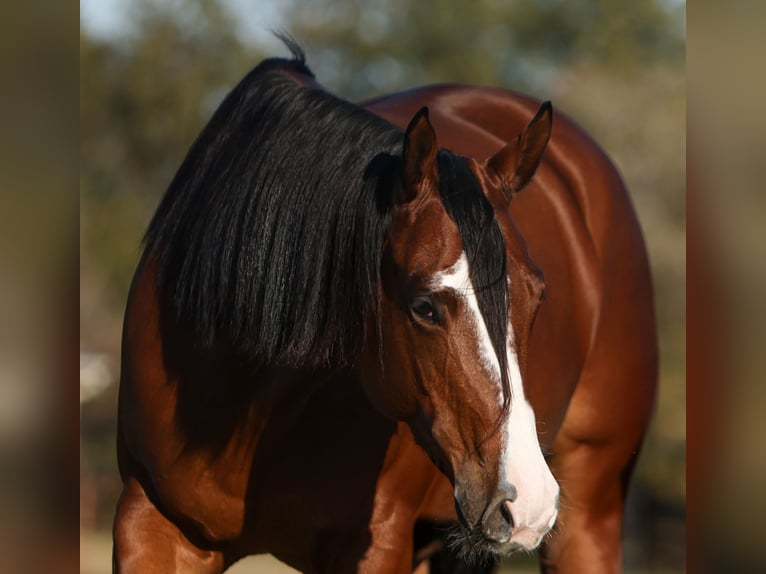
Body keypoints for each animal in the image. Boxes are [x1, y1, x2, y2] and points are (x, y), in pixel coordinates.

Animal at [113, 41, 657, 573]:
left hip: (589, 514)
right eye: (424, 307)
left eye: (537, 297)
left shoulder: (379, 542)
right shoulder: (151, 522)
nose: (526, 501)